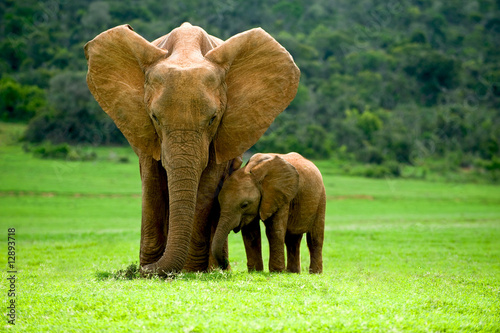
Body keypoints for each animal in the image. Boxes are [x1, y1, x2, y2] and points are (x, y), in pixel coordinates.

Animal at [85, 23, 300, 274]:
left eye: (212, 119)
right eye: (155, 117)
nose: (139, 270)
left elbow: (208, 185)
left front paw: (190, 270)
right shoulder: (144, 128)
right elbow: (152, 181)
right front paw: (147, 269)